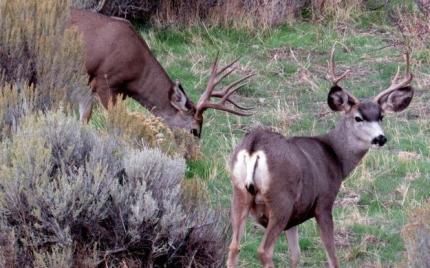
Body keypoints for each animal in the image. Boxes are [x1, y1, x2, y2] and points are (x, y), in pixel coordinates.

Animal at [228, 45, 414, 266]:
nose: (380, 138)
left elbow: (296, 254)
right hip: (280, 199)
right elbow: (332, 255)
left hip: (239, 194)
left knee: (234, 246)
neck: (335, 156)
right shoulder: (324, 202)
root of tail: (254, 147)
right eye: (358, 117)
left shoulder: (295, 215)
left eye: (381, 116)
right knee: (264, 250)